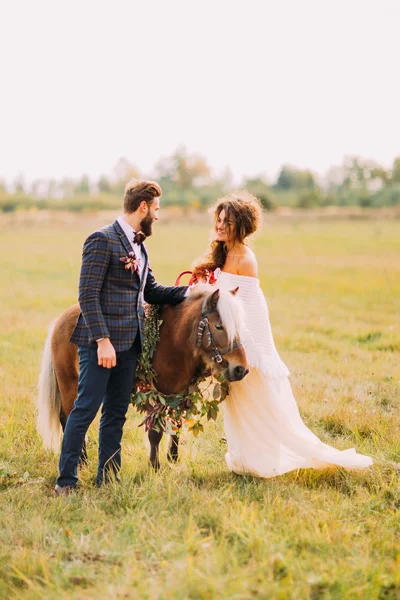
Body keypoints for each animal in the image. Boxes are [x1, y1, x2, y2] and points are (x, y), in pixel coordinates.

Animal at [38, 286, 250, 468]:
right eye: (219, 326)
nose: (241, 369)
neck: (173, 341)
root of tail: (60, 321)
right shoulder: (150, 394)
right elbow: (155, 432)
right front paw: (154, 466)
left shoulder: (179, 395)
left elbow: (177, 425)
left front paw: (172, 458)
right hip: (70, 384)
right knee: (68, 417)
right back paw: (81, 460)